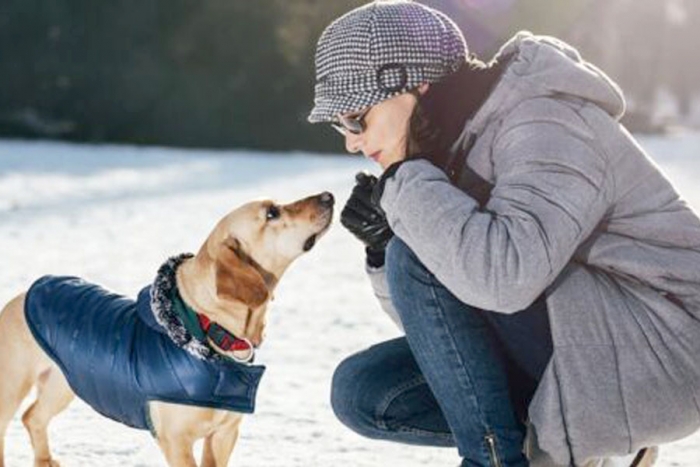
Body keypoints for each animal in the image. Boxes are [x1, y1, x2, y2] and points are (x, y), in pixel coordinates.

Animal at [0, 191, 334, 467]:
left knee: (33, 417)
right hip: (13, 384)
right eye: (272, 213)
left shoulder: (225, 433)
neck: (207, 327)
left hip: (64, 383)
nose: (329, 196)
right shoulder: (175, 440)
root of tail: (26, 292)